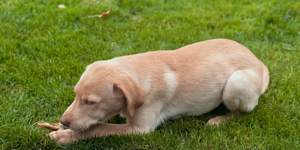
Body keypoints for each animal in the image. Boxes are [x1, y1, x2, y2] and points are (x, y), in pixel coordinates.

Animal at [49, 39, 270, 145]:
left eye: (91, 102)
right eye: (76, 96)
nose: (63, 121)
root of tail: (260, 63)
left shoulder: (140, 129)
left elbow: (99, 128)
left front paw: (65, 136)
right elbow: (99, 124)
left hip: (236, 83)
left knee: (240, 111)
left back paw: (219, 119)